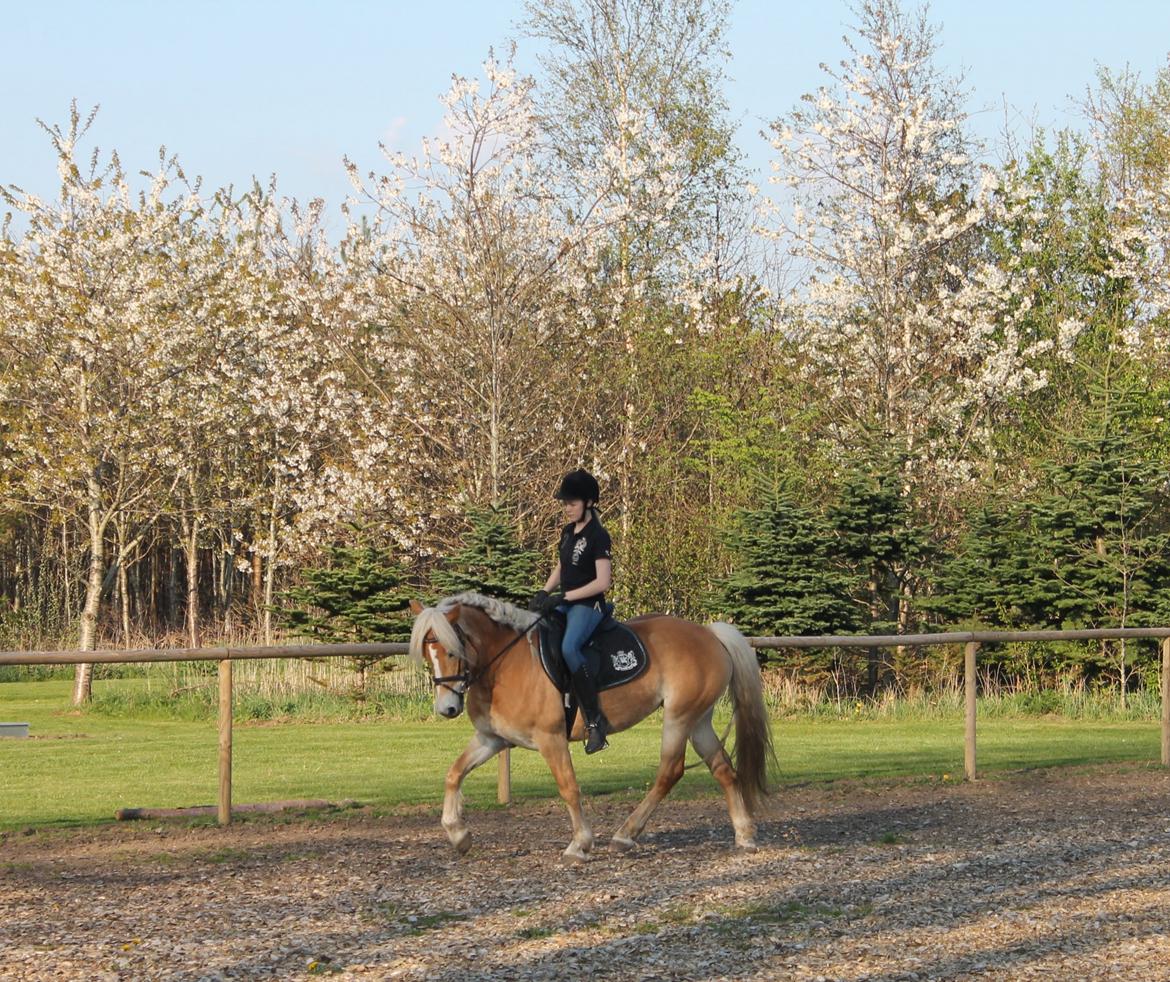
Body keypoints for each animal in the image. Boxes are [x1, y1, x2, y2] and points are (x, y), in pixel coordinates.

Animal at [407, 592, 772, 861]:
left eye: (453, 650)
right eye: (427, 652)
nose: (447, 708)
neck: (505, 663)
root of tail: (709, 634)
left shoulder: (551, 739)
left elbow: (568, 787)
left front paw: (579, 844)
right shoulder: (492, 739)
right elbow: (454, 773)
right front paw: (458, 834)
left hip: (679, 717)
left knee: (670, 771)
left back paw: (625, 835)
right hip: (698, 720)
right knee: (723, 770)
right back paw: (744, 835)